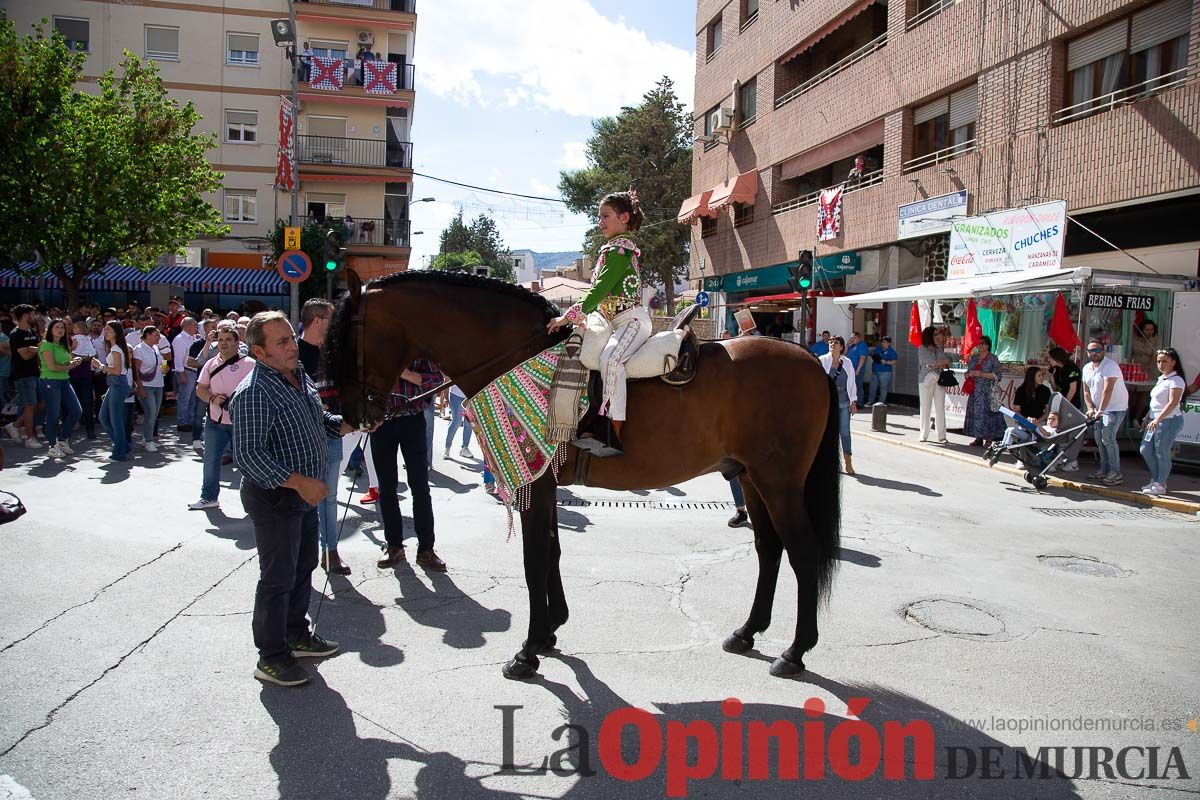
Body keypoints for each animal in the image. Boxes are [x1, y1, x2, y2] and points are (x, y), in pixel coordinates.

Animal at [324, 271, 840, 681]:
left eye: (347, 339)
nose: (347, 415)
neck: (518, 354)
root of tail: (811, 361)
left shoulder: (533, 483)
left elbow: (534, 560)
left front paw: (528, 650)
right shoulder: (547, 485)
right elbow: (551, 552)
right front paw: (550, 632)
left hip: (778, 483)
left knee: (802, 551)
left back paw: (795, 652)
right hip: (751, 480)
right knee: (769, 549)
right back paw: (748, 632)